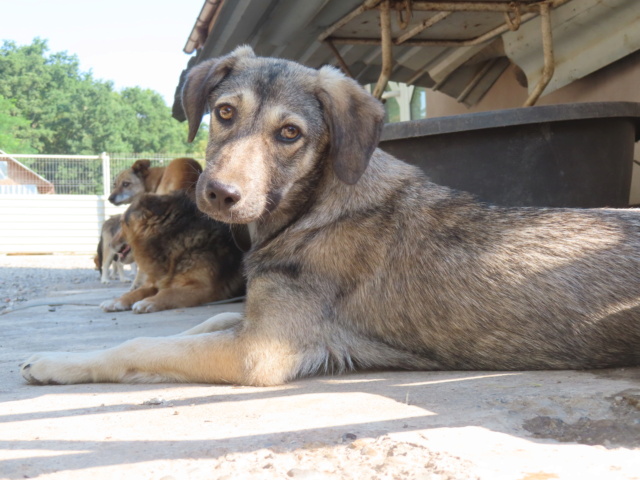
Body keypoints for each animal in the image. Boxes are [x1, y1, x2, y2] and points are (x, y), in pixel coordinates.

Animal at [99, 191, 245, 316]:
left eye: (122, 223)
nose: (109, 244)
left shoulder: (203, 288)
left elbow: (169, 293)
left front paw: (149, 301)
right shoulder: (157, 282)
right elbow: (137, 292)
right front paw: (117, 301)